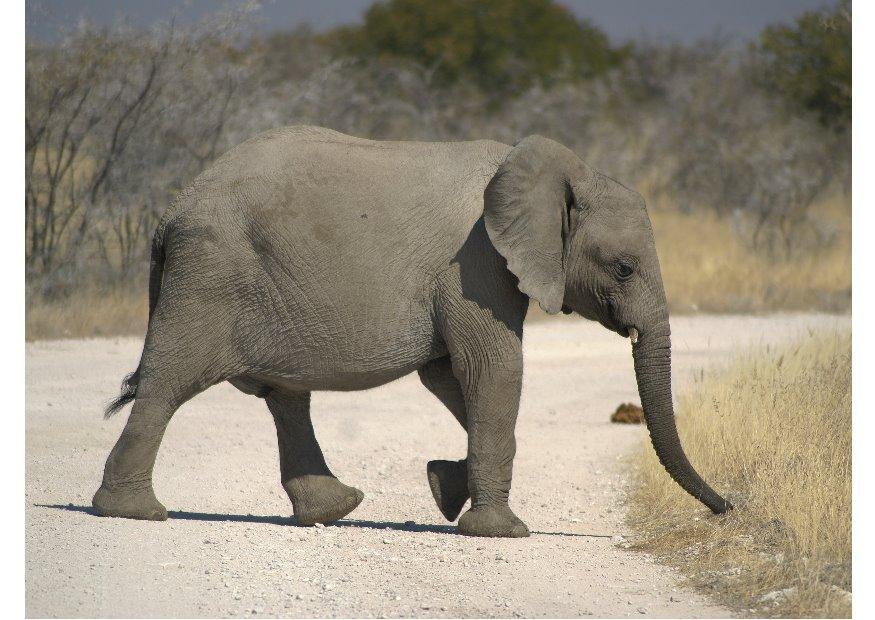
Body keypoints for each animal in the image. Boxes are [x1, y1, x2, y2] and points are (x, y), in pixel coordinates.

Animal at [93, 125, 731, 538]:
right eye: (623, 269)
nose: (728, 508)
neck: (557, 172)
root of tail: (169, 214)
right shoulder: (476, 263)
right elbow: (493, 368)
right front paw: (499, 531)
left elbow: (450, 376)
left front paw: (444, 487)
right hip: (211, 273)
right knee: (171, 381)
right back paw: (133, 513)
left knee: (285, 396)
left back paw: (334, 510)